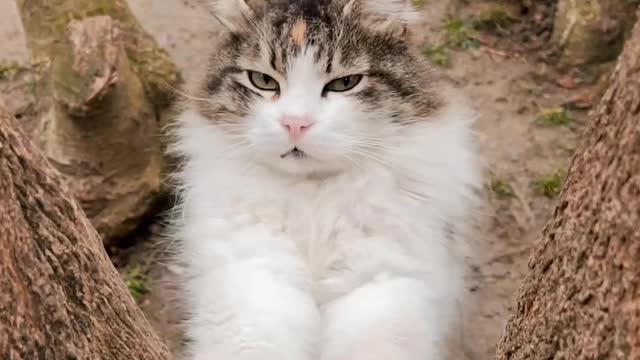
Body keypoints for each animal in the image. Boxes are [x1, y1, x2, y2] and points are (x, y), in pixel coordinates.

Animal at [168, 1, 482, 358]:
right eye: (262, 80)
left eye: (345, 83)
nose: (295, 124)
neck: (313, 198)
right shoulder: (254, 274)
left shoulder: (381, 278)